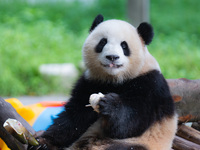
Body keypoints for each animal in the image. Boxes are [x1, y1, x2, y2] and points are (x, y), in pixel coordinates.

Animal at [36, 14, 177, 150]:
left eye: (124, 46)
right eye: (103, 42)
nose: (112, 57)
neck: (115, 79)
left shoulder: (150, 84)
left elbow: (131, 122)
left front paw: (110, 104)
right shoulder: (91, 82)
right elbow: (74, 117)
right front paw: (43, 143)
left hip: (141, 143)